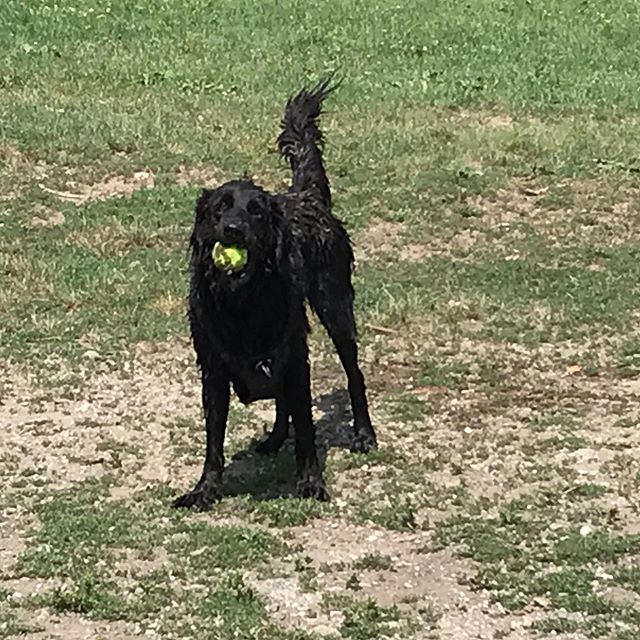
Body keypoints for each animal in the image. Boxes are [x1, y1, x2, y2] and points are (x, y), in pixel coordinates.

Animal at [172, 81, 378, 510]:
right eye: (220, 209)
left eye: (256, 212)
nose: (233, 229)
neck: (243, 302)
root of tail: (306, 196)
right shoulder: (213, 370)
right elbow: (213, 442)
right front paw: (204, 491)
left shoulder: (298, 359)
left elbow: (307, 431)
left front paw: (311, 482)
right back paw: (274, 438)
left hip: (336, 309)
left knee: (354, 374)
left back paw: (364, 434)